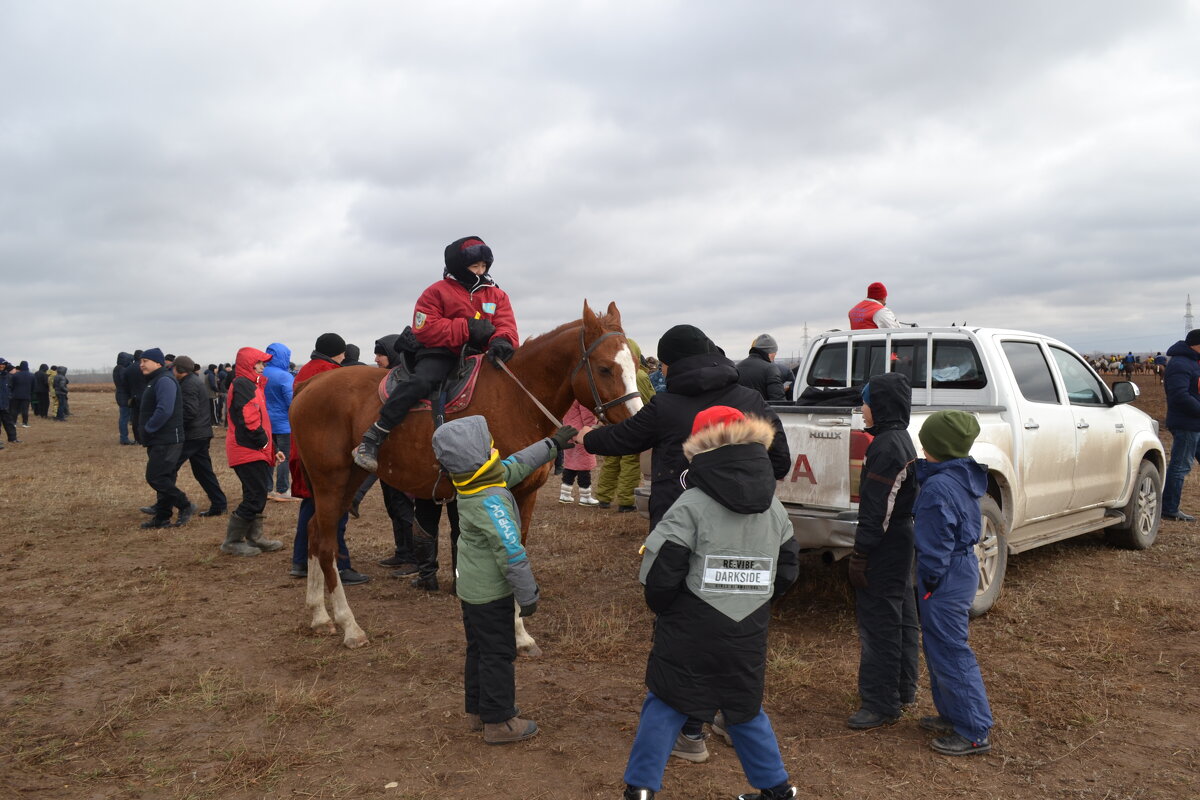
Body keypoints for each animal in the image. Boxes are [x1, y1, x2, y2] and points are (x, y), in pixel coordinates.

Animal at [288, 303, 648, 647]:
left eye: (635, 362)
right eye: (605, 368)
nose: (637, 417)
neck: (518, 399)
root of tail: (309, 384)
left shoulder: (527, 494)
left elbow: (519, 549)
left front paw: (520, 632)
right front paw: (514, 631)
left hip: (347, 481)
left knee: (314, 532)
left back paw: (319, 616)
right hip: (331, 481)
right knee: (327, 546)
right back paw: (349, 626)